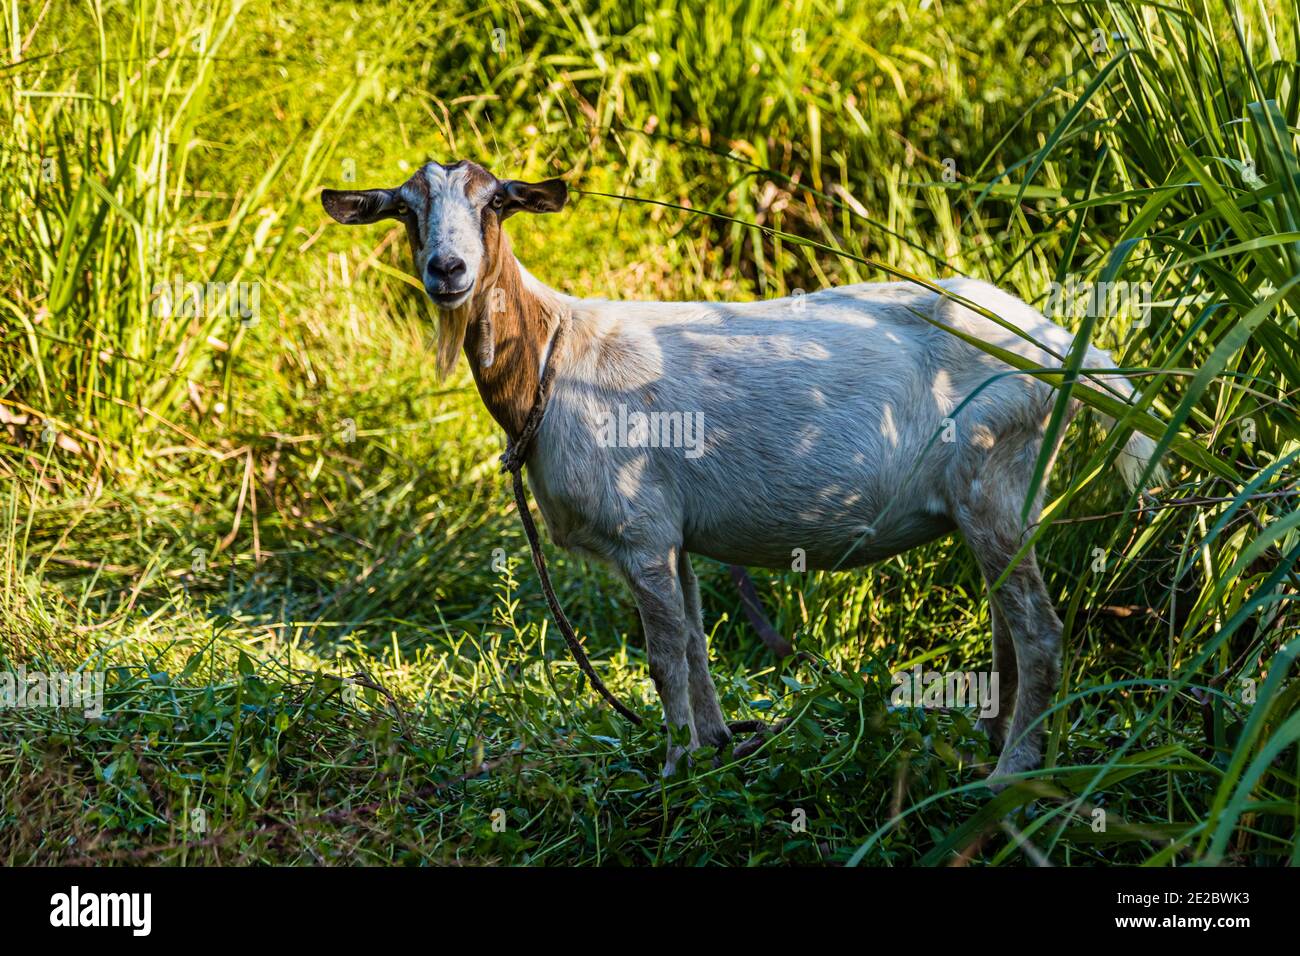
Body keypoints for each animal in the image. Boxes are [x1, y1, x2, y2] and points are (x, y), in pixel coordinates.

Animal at [322, 157, 1159, 785]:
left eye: (495, 201)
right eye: (405, 209)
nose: (448, 269)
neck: (554, 360)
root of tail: (1062, 344)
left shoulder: (639, 529)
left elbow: (663, 658)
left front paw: (671, 768)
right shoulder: (674, 537)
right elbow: (694, 643)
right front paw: (718, 749)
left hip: (993, 474)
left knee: (1040, 631)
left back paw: (1010, 774)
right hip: (1005, 491)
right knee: (1008, 625)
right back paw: (994, 744)